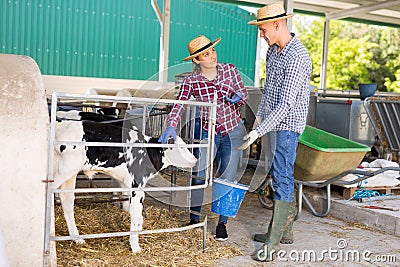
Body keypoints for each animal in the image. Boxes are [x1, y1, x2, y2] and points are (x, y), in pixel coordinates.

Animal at [53, 121, 197, 253]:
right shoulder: (136, 186)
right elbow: (135, 214)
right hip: (62, 171)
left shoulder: (128, 184)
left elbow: (136, 213)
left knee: (67, 201)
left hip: (70, 175)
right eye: (181, 148)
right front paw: (135, 246)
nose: (195, 160)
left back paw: (77, 239)